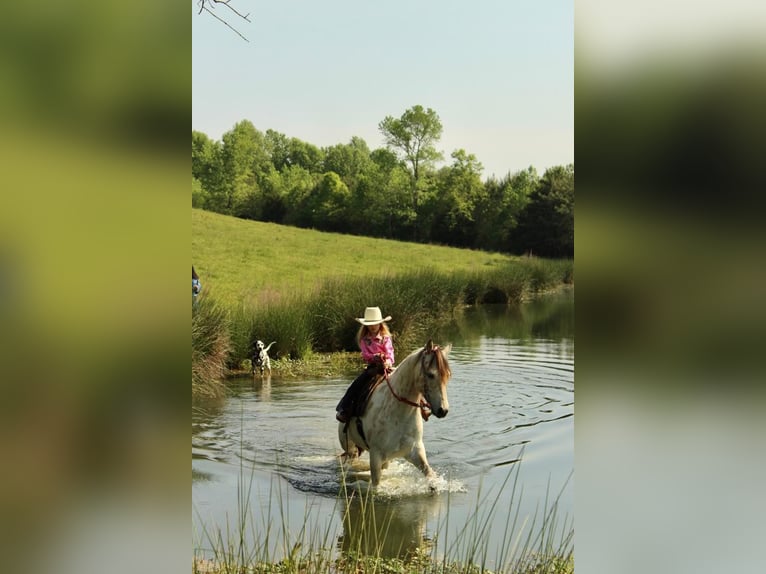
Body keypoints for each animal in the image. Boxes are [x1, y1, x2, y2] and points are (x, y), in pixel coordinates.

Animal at [340, 342, 452, 490]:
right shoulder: (376, 455)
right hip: (351, 449)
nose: (443, 410)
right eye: (431, 375)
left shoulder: (415, 450)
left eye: (448, 376)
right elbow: (376, 485)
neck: (399, 412)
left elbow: (429, 474)